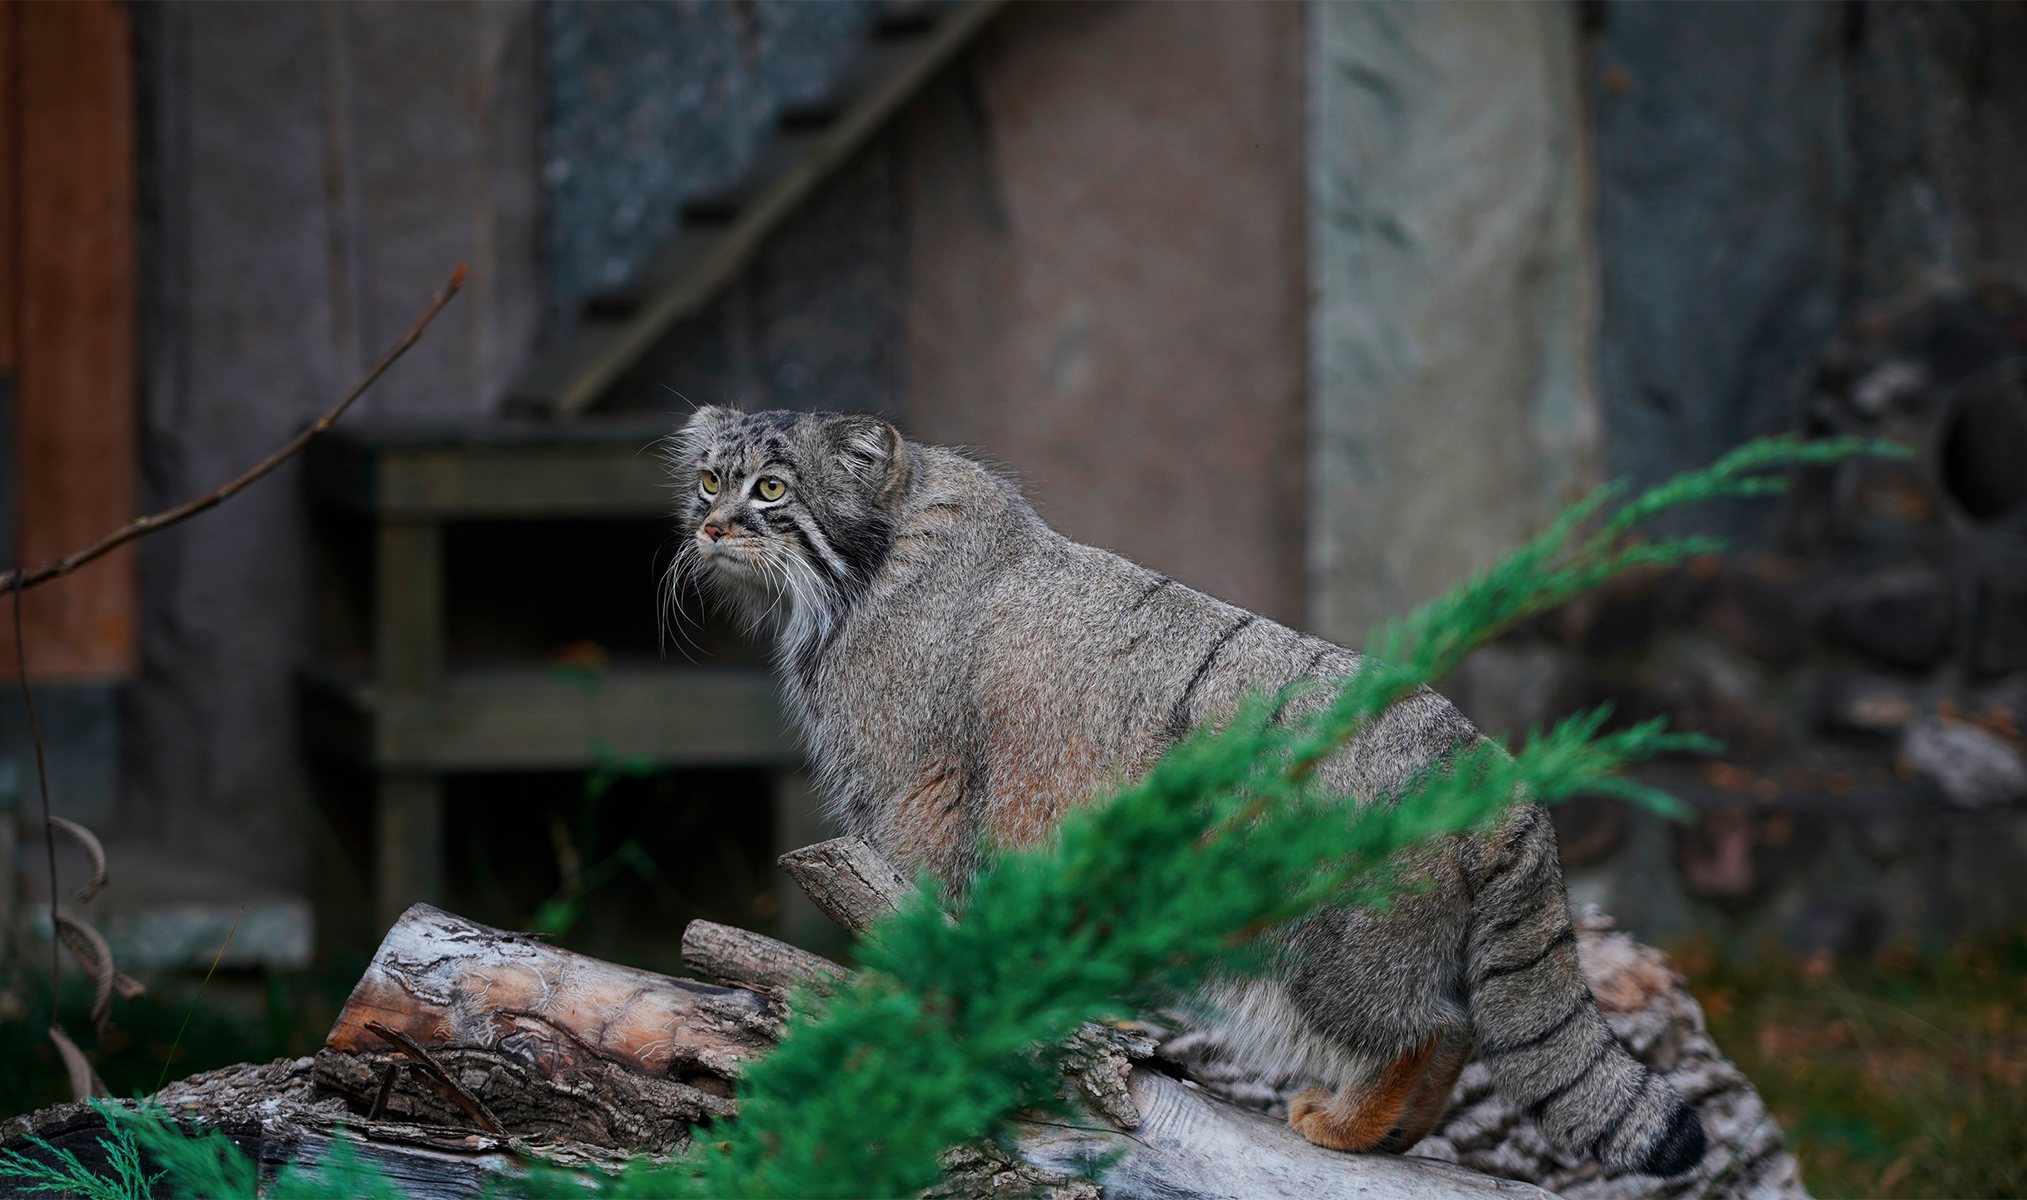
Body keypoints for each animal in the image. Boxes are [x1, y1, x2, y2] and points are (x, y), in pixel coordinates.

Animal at [668, 407, 1710, 1175]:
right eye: (710, 480)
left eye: (770, 488)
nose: (706, 528)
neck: (874, 562)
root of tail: (1496, 770)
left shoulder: (917, 792)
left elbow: (910, 911)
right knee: (1453, 1035)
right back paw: (1399, 1135)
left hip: (1332, 950)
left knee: (1427, 1031)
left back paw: (1351, 1127)